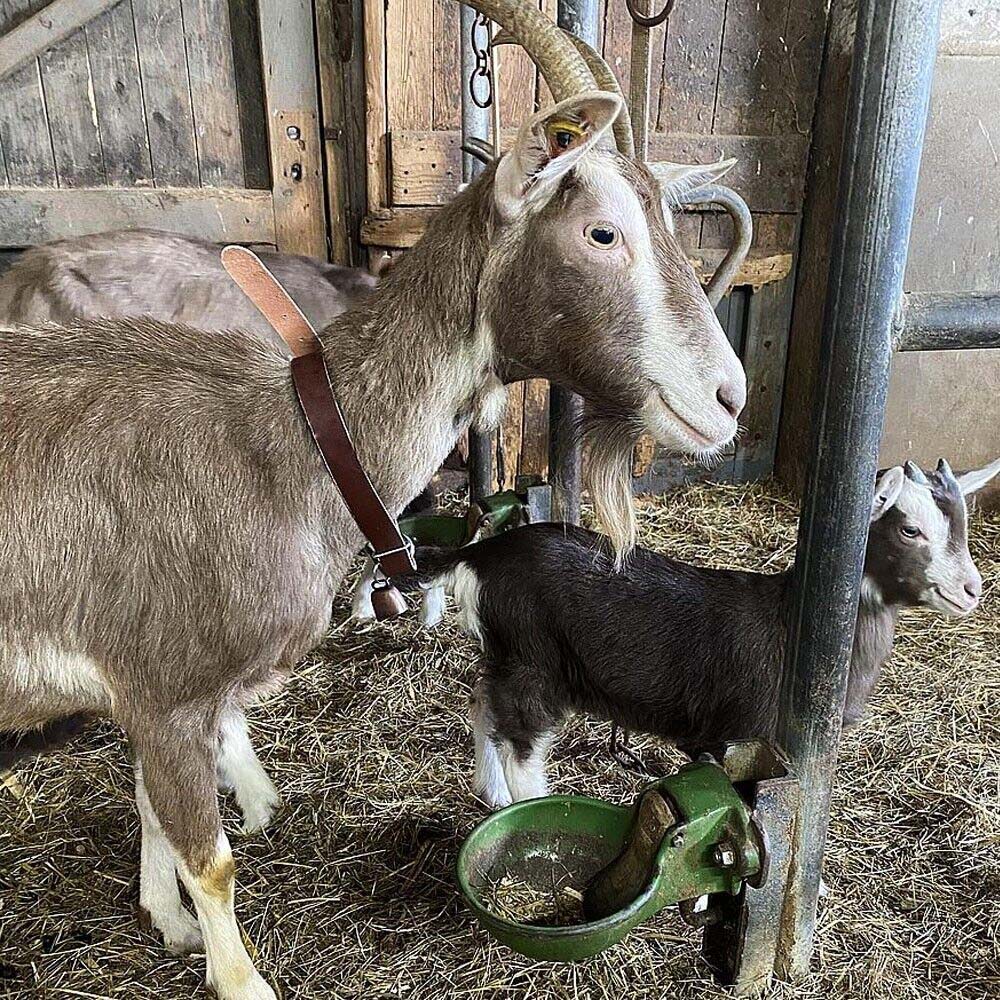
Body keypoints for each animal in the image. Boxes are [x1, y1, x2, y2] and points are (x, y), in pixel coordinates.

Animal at [416, 458, 1000, 808]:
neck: (787, 622)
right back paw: (528, 805)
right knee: (519, 738)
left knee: (483, 705)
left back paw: (491, 795)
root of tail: (480, 557)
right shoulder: (738, 736)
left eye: (963, 525)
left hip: (506, 653)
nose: (971, 590)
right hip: (534, 658)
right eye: (909, 529)